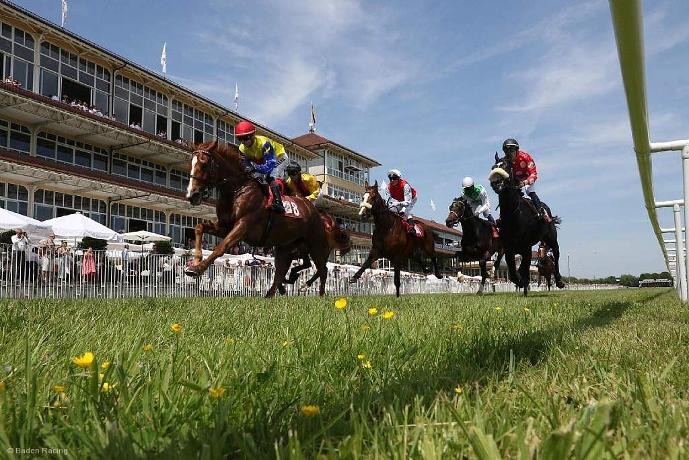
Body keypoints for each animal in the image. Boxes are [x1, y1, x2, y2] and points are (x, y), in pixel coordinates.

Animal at [184, 140, 331, 297]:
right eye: (191, 163)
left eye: (204, 163)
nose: (192, 194)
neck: (237, 190)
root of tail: (313, 209)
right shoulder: (225, 227)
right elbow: (199, 227)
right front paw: (196, 261)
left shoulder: (243, 225)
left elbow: (221, 247)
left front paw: (197, 269)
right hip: (285, 246)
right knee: (281, 271)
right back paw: (272, 293)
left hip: (316, 245)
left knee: (322, 270)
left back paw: (319, 294)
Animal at [488, 153, 565, 295]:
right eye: (493, 167)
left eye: (506, 167)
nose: (496, 182)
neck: (514, 215)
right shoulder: (509, 249)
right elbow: (513, 271)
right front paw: (519, 281)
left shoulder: (526, 248)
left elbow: (524, 268)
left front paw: (524, 282)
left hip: (551, 239)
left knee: (556, 255)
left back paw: (559, 281)